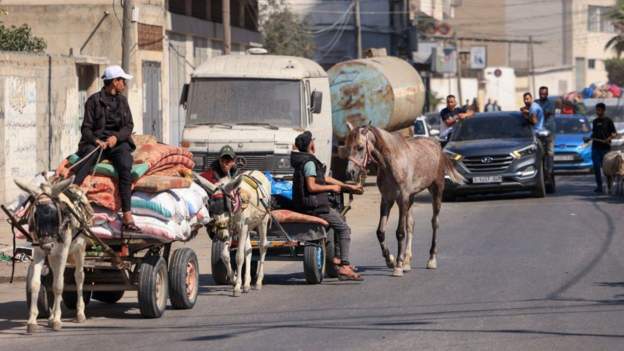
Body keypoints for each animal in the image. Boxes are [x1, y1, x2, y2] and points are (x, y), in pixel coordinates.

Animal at [13, 177, 91, 334]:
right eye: (35, 215)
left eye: (56, 215)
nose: (48, 245)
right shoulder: (38, 250)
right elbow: (35, 284)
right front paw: (32, 321)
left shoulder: (62, 251)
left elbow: (59, 285)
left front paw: (56, 320)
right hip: (52, 256)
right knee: (54, 276)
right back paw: (50, 317)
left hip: (79, 248)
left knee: (79, 277)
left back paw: (79, 313)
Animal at [346, 126, 464, 278]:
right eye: (347, 146)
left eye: (360, 147)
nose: (350, 173)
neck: (392, 163)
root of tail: (438, 146)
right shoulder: (387, 200)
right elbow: (380, 232)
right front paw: (390, 260)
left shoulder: (402, 199)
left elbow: (400, 232)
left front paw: (398, 266)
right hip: (411, 198)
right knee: (411, 225)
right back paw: (407, 261)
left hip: (436, 191)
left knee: (434, 223)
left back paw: (431, 259)